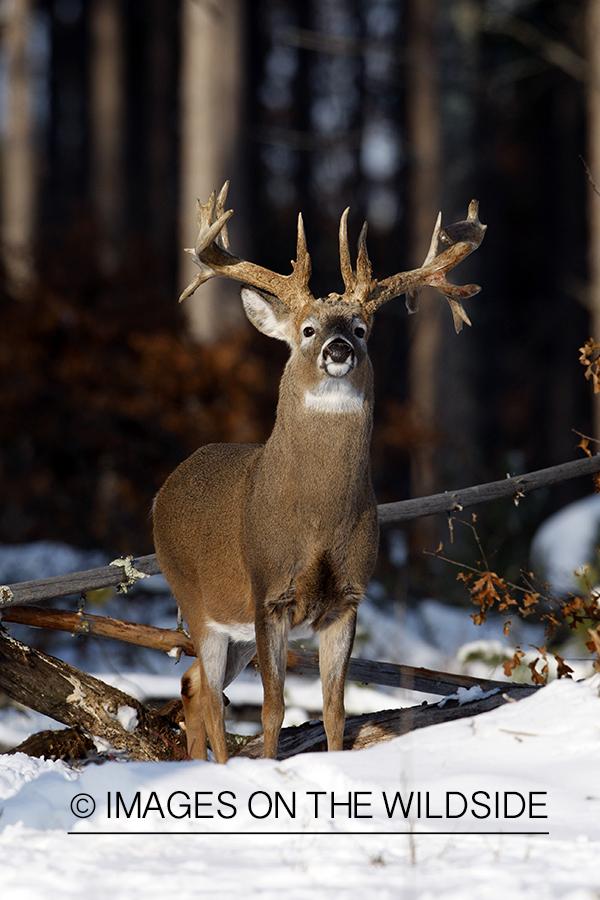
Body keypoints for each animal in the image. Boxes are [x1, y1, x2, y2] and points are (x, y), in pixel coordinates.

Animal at [152, 183, 486, 760]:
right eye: (307, 329)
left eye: (361, 329)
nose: (338, 348)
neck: (317, 521)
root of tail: (163, 491)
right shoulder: (269, 594)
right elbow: (273, 709)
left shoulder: (348, 598)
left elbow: (335, 711)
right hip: (196, 599)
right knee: (212, 698)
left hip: (231, 628)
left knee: (192, 685)